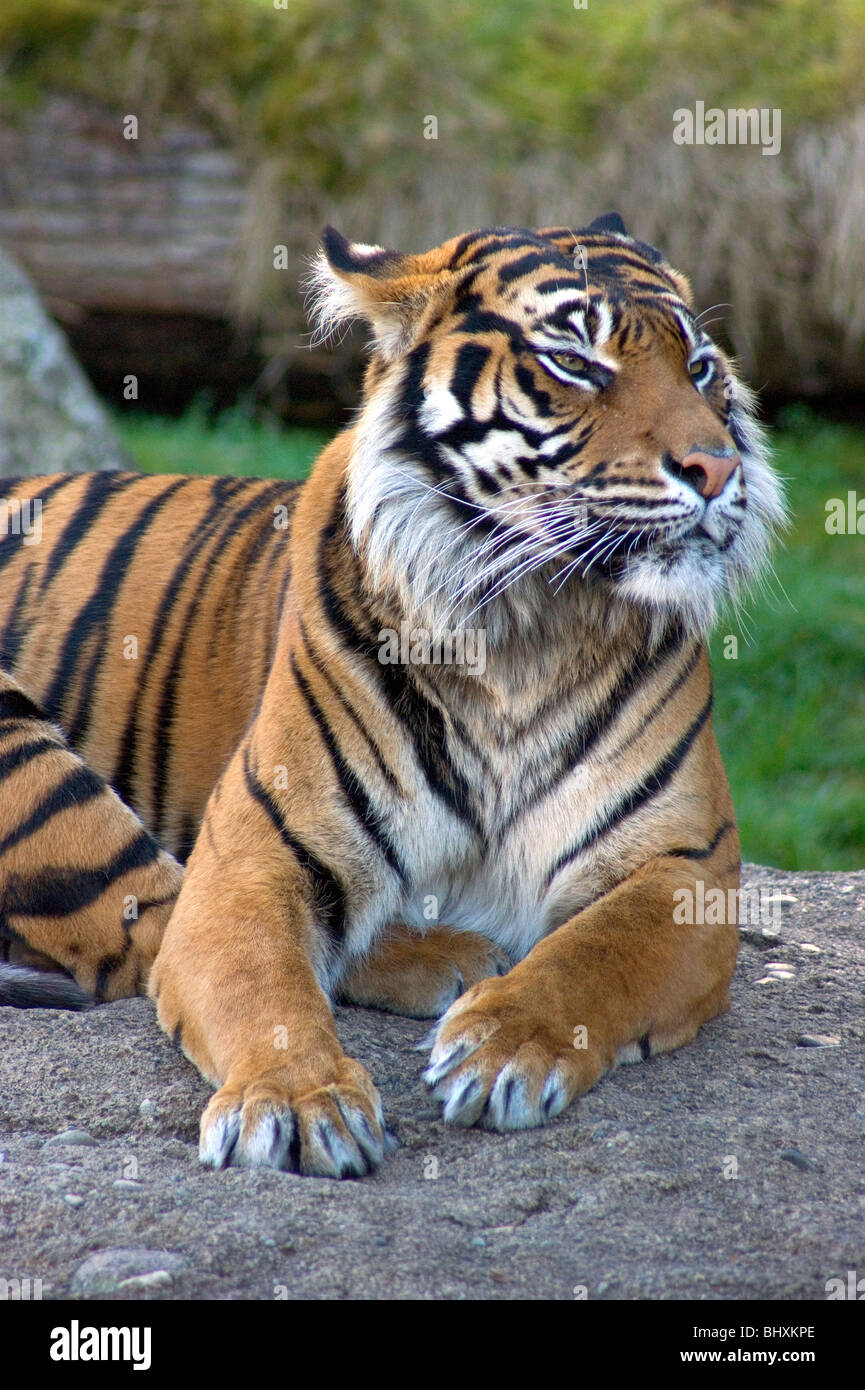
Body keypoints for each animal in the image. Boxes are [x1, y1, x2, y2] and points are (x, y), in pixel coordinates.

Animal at [0, 214, 784, 1173]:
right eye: (574, 361)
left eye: (699, 366)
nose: (715, 469)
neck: (529, 627)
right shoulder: (251, 854)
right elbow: (260, 980)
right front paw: (295, 1099)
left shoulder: (685, 865)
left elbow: (594, 954)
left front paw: (502, 1043)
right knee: (145, 931)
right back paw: (453, 955)